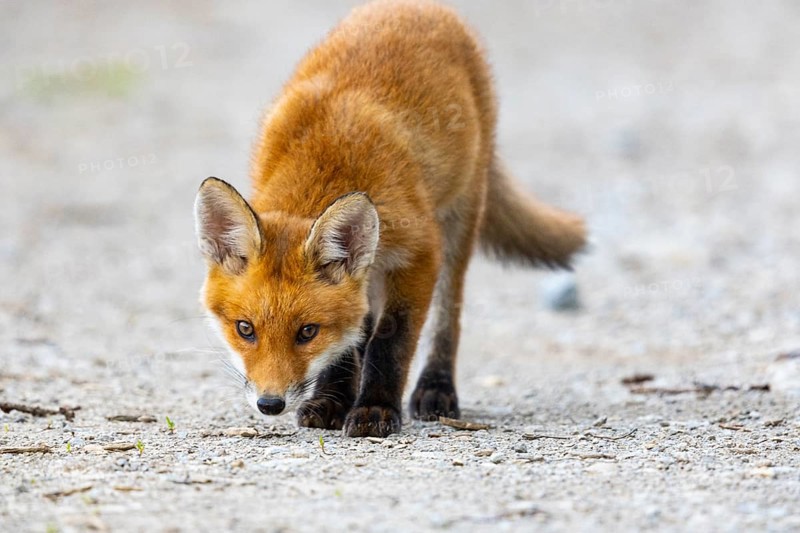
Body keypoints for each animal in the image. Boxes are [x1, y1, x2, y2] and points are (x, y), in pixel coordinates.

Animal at [194, 0, 586, 438]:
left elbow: (390, 340)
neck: (323, 167)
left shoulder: (420, 252)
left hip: (460, 218)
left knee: (447, 319)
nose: (269, 403)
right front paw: (332, 401)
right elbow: (351, 338)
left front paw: (375, 408)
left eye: (307, 332)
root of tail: (416, 6)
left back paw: (436, 389)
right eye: (245, 329)